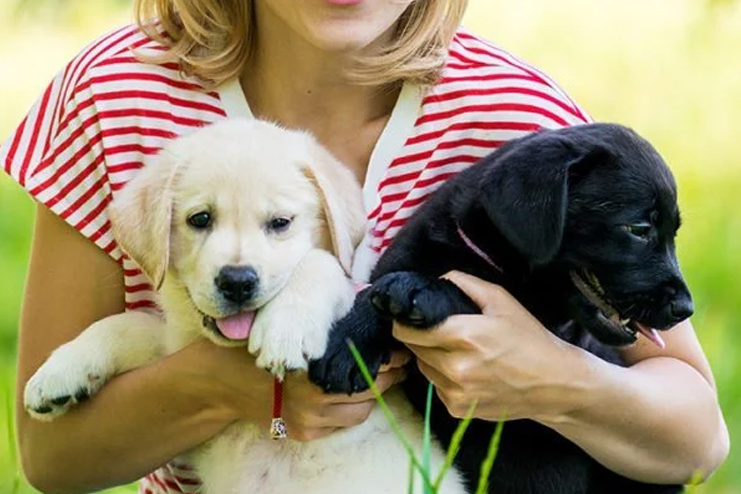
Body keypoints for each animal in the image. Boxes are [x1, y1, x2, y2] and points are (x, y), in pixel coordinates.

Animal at [26, 118, 466, 494]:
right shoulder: (178, 351)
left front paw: (285, 332)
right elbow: (127, 324)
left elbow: (318, 263)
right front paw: (60, 372)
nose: (237, 281)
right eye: (200, 219)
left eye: (281, 223)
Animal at [310, 122, 692, 494]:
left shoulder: (535, 328)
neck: (485, 257)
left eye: (672, 233)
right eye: (638, 229)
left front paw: (421, 288)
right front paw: (347, 345)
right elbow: (374, 289)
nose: (685, 308)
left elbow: (467, 292)